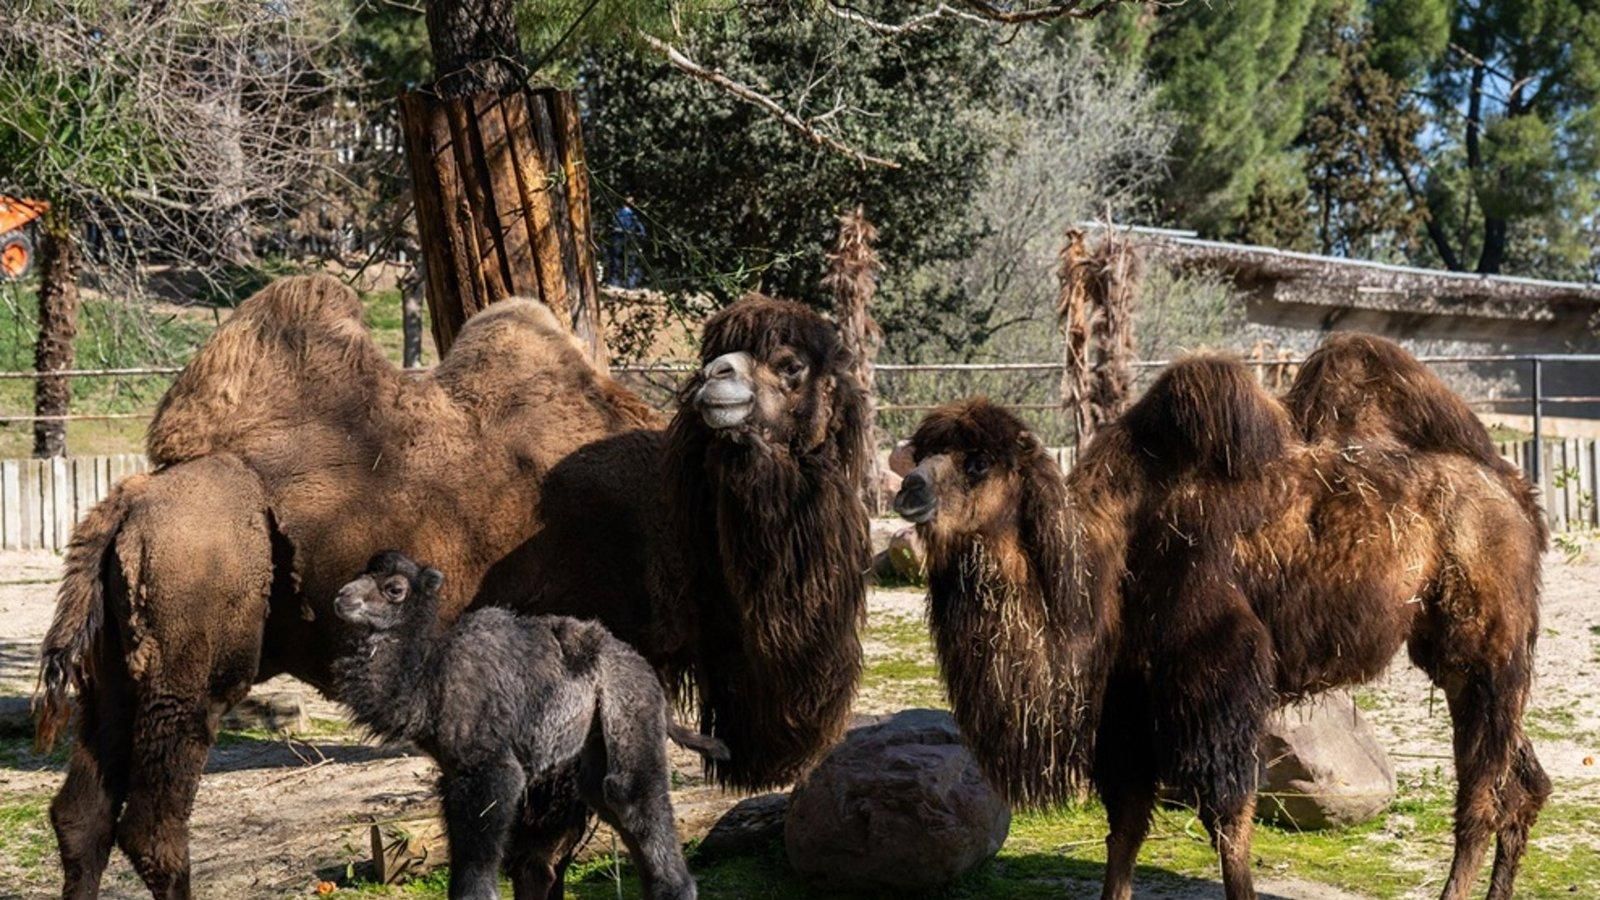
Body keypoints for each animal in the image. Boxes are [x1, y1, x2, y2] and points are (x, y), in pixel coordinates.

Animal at [36, 275, 871, 898]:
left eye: (793, 364)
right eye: (728, 354)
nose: (716, 382)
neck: (670, 515)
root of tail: (128, 498)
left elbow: (542, 852)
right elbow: (539, 853)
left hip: (116, 671)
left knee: (82, 819)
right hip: (189, 660)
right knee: (153, 829)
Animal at [893, 333, 1547, 900]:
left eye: (978, 462)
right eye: (921, 454)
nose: (908, 491)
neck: (1106, 562)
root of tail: (1516, 494)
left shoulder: (1217, 676)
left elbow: (1229, 820)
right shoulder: (1127, 700)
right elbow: (1125, 823)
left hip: (1484, 643)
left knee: (1481, 796)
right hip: (1457, 656)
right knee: (1522, 782)